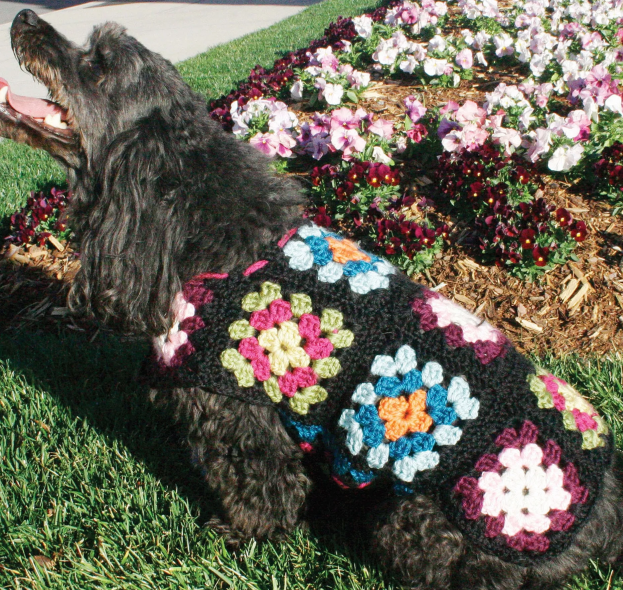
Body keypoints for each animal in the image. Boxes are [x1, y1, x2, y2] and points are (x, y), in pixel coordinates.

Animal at [1, 11, 623, 588]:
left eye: (98, 62)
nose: (25, 17)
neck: (193, 219)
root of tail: (605, 513)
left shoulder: (236, 411)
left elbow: (261, 485)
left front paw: (244, 534)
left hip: (416, 523)